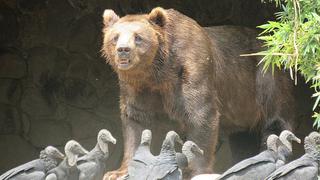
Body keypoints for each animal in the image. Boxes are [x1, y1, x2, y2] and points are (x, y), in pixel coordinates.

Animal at [100, 6, 310, 179]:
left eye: (138, 37)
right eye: (115, 37)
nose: (123, 50)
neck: (157, 73)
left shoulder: (192, 70)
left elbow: (201, 116)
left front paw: (194, 170)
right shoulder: (136, 88)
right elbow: (136, 123)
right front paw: (117, 172)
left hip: (266, 75)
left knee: (277, 119)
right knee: (242, 138)